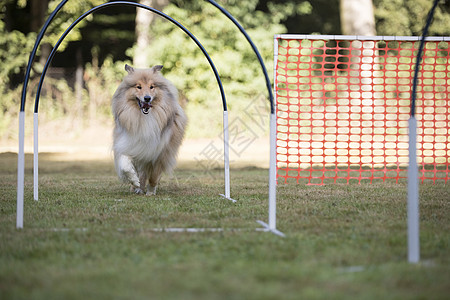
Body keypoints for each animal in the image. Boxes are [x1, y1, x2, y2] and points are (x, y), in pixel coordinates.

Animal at [111, 64, 187, 196]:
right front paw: (134, 181)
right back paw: (137, 187)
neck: (144, 118)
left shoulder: (160, 152)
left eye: (152, 87)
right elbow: (125, 164)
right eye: (138, 87)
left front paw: (151, 191)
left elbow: (154, 176)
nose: (147, 98)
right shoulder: (129, 143)